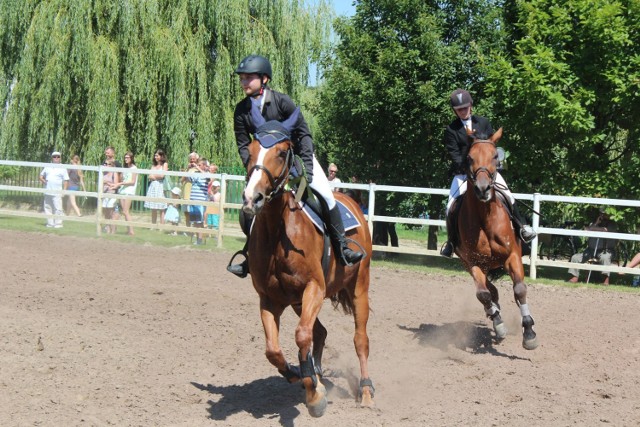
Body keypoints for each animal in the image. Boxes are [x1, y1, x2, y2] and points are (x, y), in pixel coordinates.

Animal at [241, 111, 376, 418]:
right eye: (250, 151)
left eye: (281, 152)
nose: (252, 198)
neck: (278, 234)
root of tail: (351, 198)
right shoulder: (269, 298)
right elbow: (273, 349)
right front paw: (299, 375)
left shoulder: (314, 287)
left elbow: (302, 336)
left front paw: (314, 395)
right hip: (297, 302)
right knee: (320, 332)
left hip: (359, 287)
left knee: (360, 339)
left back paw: (365, 391)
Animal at [456, 129, 540, 352]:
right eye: (469, 158)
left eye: (495, 156)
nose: (483, 189)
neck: (485, 218)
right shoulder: (473, 263)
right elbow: (483, 294)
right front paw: (499, 324)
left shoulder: (512, 256)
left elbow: (519, 290)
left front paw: (529, 333)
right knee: (489, 291)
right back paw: (494, 315)